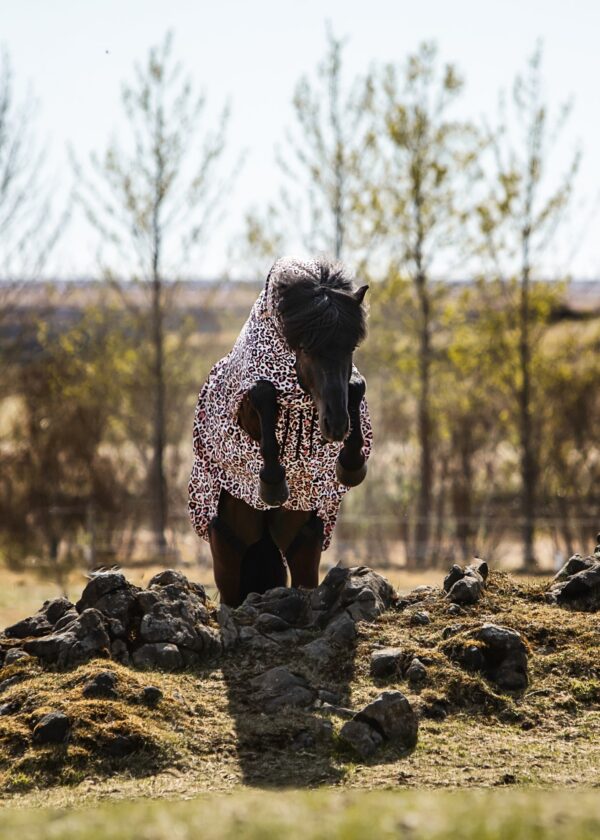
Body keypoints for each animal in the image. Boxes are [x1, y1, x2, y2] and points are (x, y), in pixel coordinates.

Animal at [188, 257, 371, 607]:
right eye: (306, 346)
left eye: (351, 346)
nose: (336, 425)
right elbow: (263, 393)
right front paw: (273, 482)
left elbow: (357, 384)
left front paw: (351, 463)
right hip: (228, 548)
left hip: (303, 542)